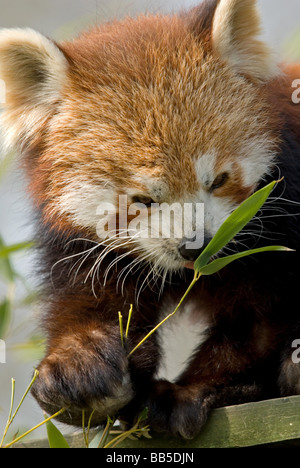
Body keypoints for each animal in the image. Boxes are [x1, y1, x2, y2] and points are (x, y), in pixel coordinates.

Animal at [0, 0, 300, 438]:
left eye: (218, 180)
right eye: (142, 200)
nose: (196, 246)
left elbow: (257, 320)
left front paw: (193, 389)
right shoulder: (84, 247)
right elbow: (93, 297)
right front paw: (80, 366)